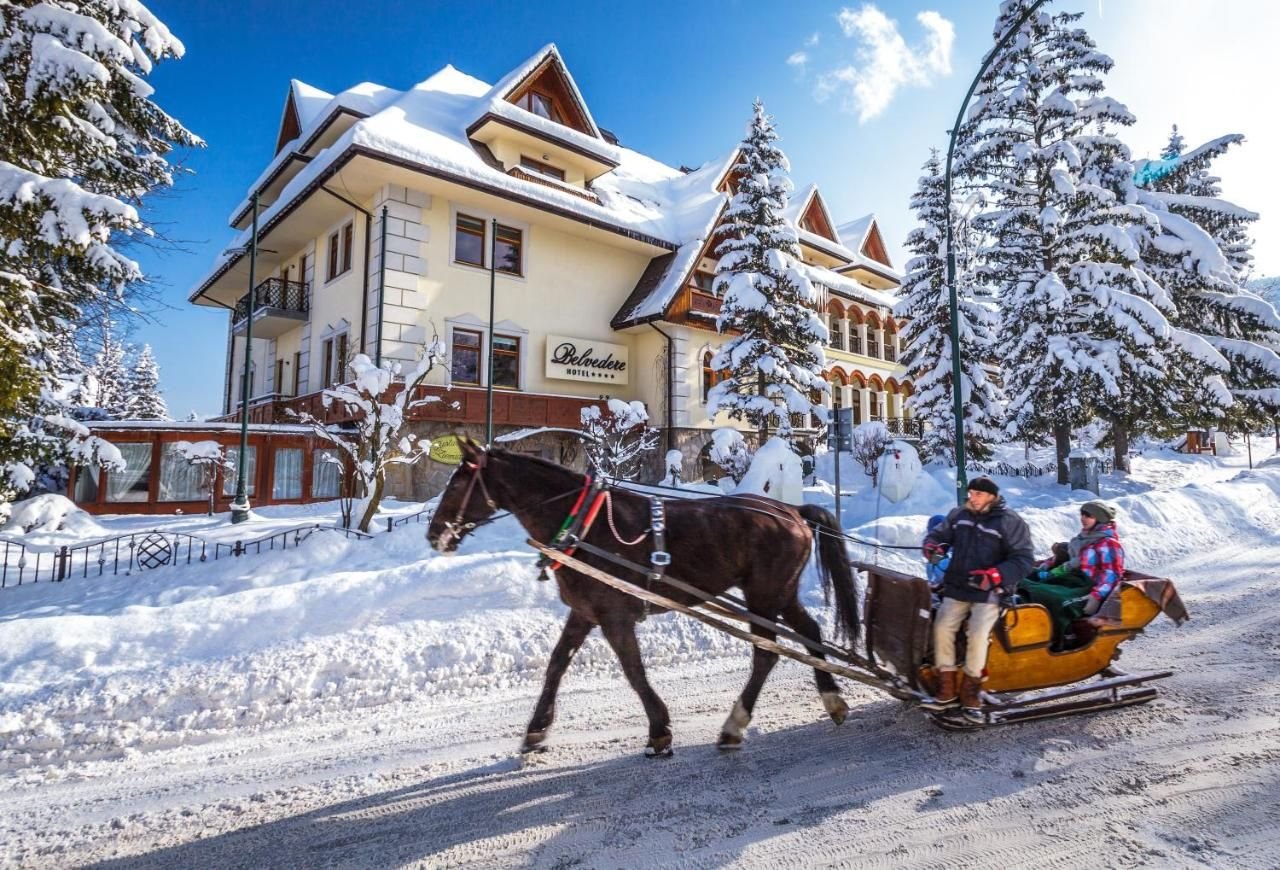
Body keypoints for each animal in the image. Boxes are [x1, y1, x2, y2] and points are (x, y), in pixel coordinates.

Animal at [427, 437, 860, 757]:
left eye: (458, 483)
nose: (434, 535)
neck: (583, 523)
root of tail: (793, 511)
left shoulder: (614, 614)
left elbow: (634, 671)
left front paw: (659, 730)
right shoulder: (585, 612)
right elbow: (556, 665)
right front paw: (536, 730)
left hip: (764, 594)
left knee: (766, 654)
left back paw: (734, 725)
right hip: (779, 593)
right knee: (811, 632)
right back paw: (832, 700)